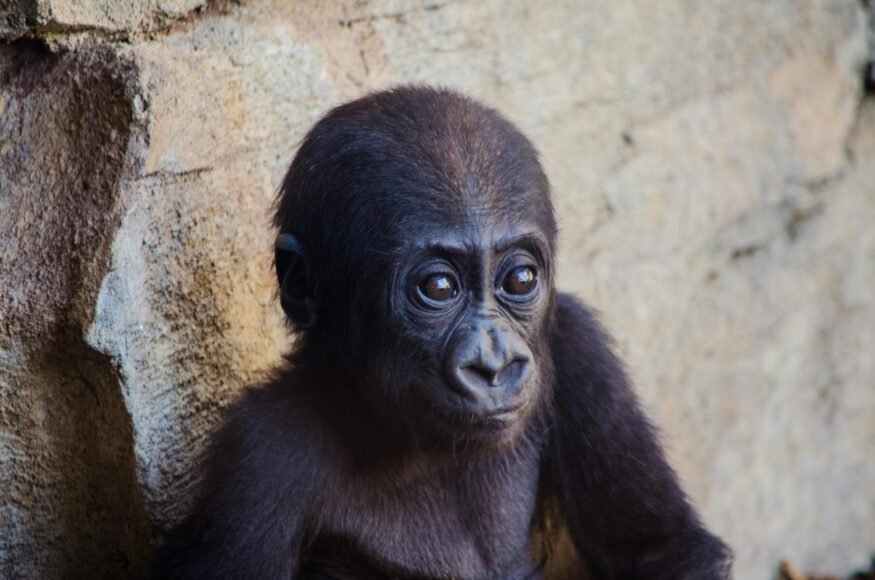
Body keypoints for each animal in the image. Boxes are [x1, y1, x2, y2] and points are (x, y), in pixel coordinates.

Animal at [156, 86, 732, 580]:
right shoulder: (259, 459)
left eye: (520, 279)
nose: (493, 365)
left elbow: (664, 547)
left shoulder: (580, 350)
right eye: (438, 287)